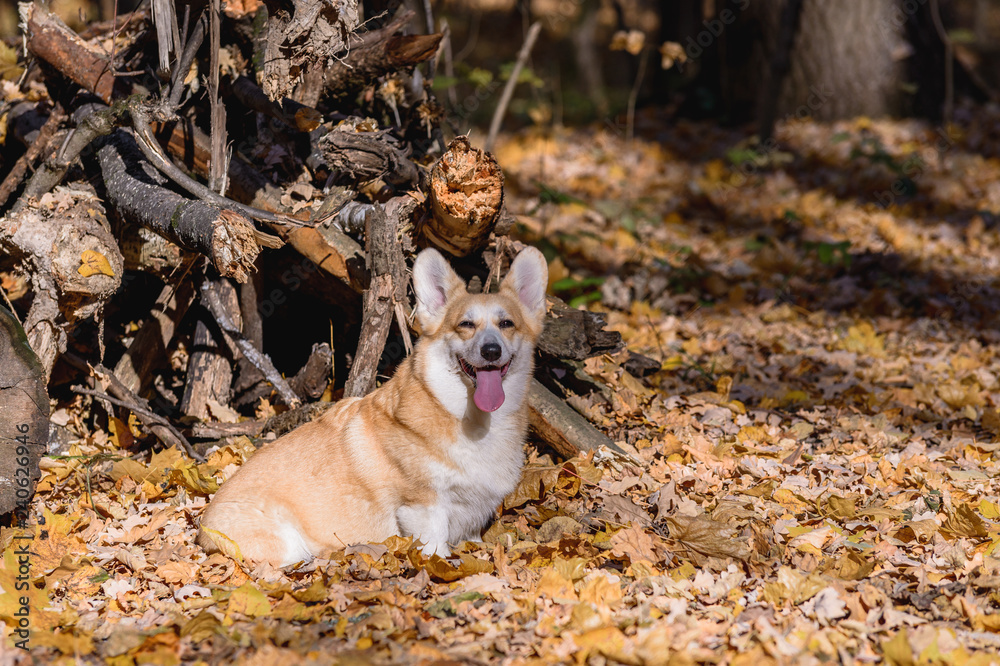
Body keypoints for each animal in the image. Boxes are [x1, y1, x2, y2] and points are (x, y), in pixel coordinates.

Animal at [195, 244, 548, 564]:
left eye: (507, 324)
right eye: (465, 325)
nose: (491, 350)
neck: (467, 418)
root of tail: (202, 531)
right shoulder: (424, 507)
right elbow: (437, 551)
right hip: (288, 545)